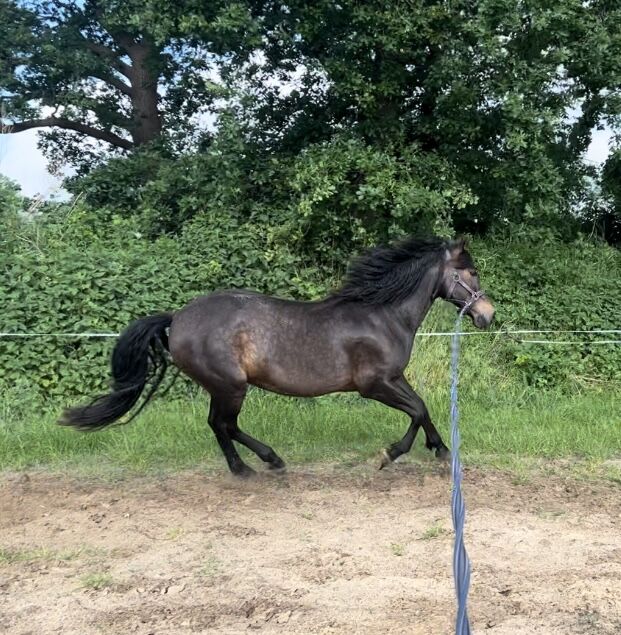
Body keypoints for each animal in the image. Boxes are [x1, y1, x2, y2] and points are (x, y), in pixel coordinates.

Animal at [59, 238, 494, 476]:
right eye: (471, 272)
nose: (487, 315)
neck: (382, 314)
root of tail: (176, 318)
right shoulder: (375, 384)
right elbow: (417, 410)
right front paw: (389, 456)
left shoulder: (394, 379)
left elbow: (424, 408)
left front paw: (440, 450)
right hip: (230, 386)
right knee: (223, 425)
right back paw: (256, 467)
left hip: (224, 387)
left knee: (220, 425)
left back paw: (260, 464)